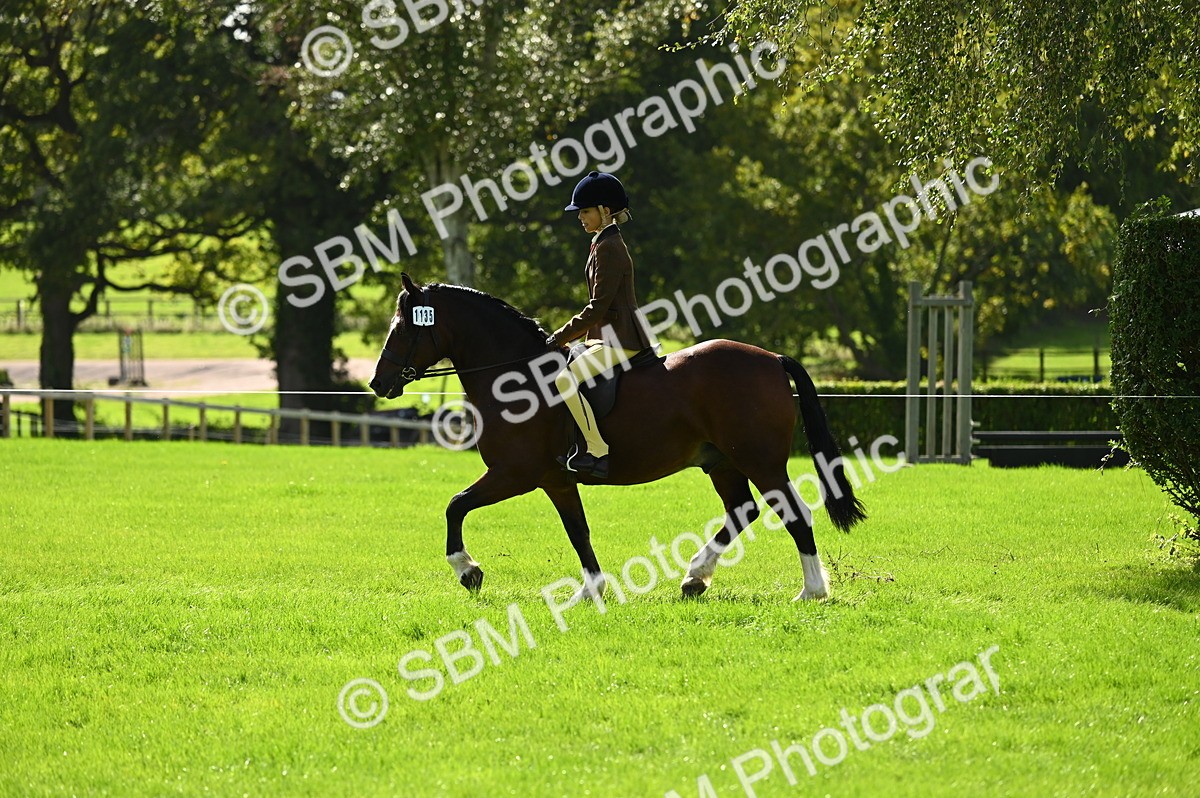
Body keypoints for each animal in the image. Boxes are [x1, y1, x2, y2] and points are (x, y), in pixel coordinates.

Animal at [369, 274, 866, 604]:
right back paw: (695, 578)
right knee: (741, 510)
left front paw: (468, 571)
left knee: (794, 513)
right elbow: (578, 532)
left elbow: (455, 505)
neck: (515, 379)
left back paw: (811, 591)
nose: (378, 382)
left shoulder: (515, 473)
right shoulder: (555, 480)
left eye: (404, 327)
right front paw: (591, 592)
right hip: (722, 462)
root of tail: (772, 359)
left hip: (760, 461)